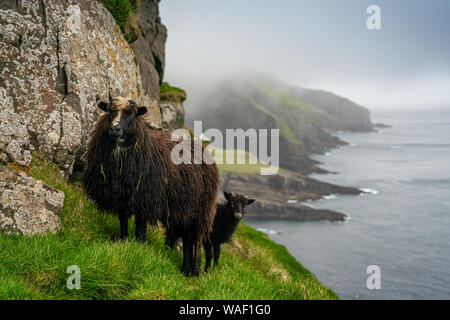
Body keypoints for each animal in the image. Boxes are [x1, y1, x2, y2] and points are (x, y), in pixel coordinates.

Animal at [84, 96, 220, 276]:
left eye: (132, 114)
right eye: (109, 111)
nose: (115, 129)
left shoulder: (145, 199)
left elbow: (140, 230)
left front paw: (139, 249)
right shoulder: (122, 197)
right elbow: (123, 223)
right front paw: (124, 241)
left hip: (202, 209)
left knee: (197, 239)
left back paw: (195, 273)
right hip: (184, 210)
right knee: (187, 240)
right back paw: (185, 271)